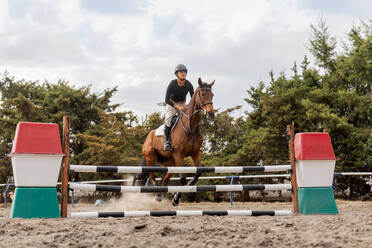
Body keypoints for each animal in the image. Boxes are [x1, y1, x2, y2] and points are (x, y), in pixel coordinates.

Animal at [135, 77, 214, 205]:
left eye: (212, 94)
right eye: (203, 94)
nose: (211, 113)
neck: (190, 127)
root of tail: (149, 135)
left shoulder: (195, 153)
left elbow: (198, 172)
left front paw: (189, 185)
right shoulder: (179, 155)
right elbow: (182, 179)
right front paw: (176, 198)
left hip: (170, 162)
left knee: (165, 179)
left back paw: (159, 195)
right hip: (150, 157)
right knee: (151, 175)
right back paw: (155, 189)